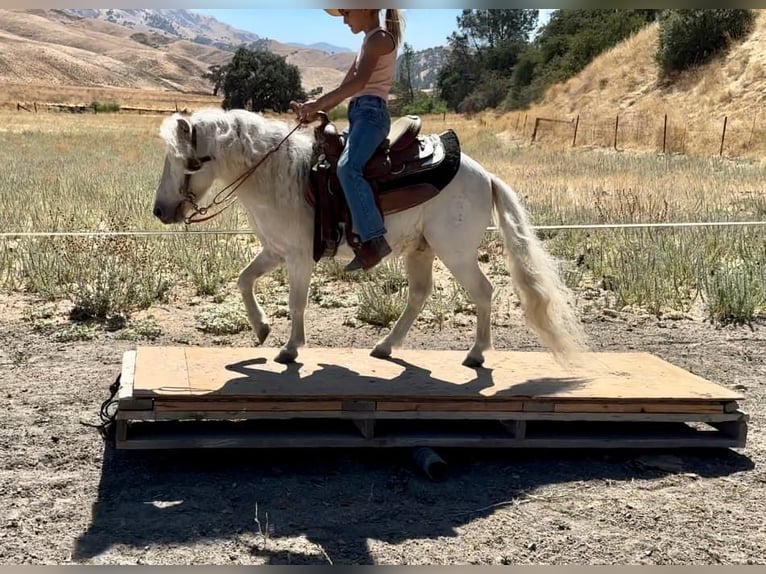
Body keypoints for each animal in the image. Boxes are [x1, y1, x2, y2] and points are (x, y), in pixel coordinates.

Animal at [154, 108, 588, 368]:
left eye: (190, 163)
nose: (161, 211)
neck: (281, 175)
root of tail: (486, 176)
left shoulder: (298, 257)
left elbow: (296, 303)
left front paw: (290, 348)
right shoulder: (274, 251)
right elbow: (244, 280)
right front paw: (261, 329)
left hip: (456, 252)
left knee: (482, 292)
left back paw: (476, 354)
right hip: (421, 251)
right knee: (419, 295)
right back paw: (385, 346)